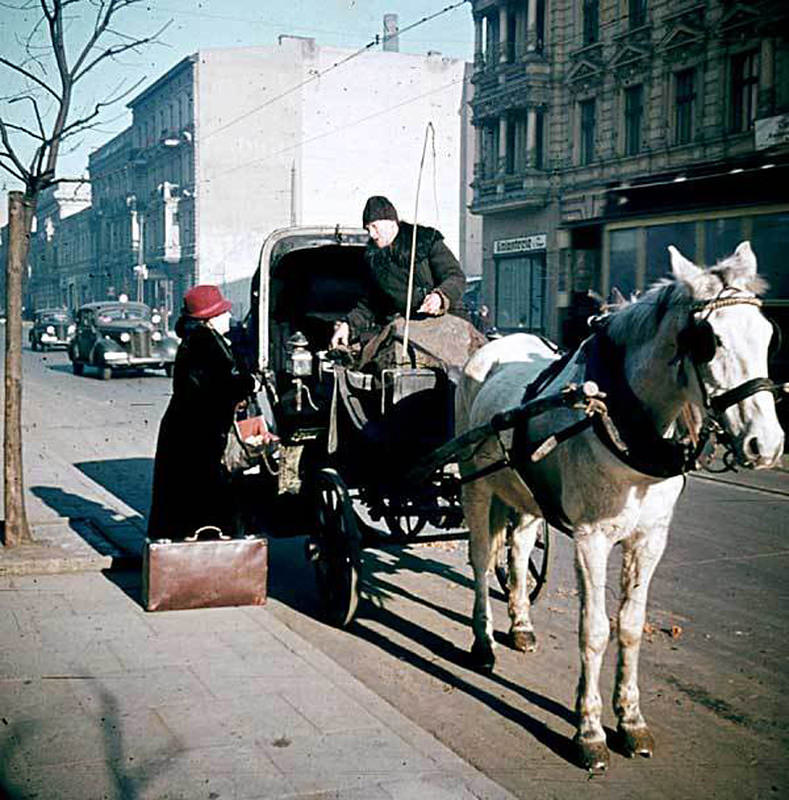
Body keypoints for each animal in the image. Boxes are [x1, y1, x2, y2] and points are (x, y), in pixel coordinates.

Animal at [456, 242, 780, 768]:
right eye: (709, 341)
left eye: (768, 334)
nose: (766, 445)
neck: (620, 414)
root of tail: (489, 346)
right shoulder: (591, 539)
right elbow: (594, 630)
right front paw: (588, 730)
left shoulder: (650, 538)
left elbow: (629, 625)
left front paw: (630, 720)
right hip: (475, 483)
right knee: (483, 559)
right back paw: (483, 642)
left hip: (524, 491)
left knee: (519, 551)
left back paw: (521, 624)